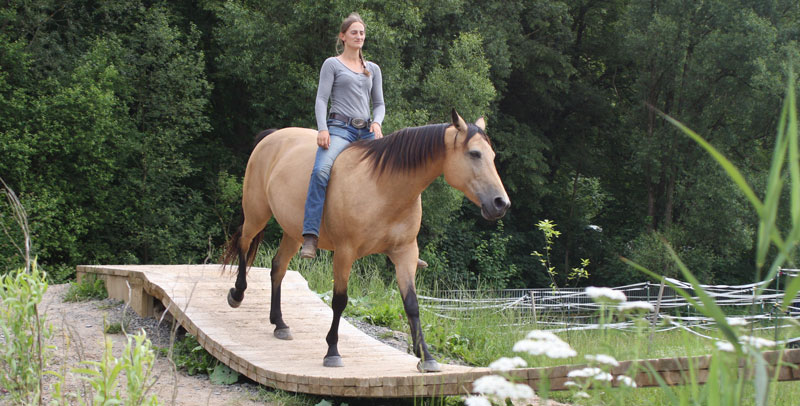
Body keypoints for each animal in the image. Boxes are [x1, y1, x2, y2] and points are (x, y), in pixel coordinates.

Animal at [223, 110, 512, 372]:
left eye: (492, 156)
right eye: (474, 154)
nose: (501, 203)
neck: (383, 187)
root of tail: (273, 136)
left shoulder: (405, 254)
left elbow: (412, 304)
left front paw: (426, 357)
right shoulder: (345, 253)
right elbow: (340, 301)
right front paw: (332, 351)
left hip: (293, 233)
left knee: (278, 268)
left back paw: (280, 323)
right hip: (256, 214)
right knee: (244, 245)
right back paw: (237, 294)